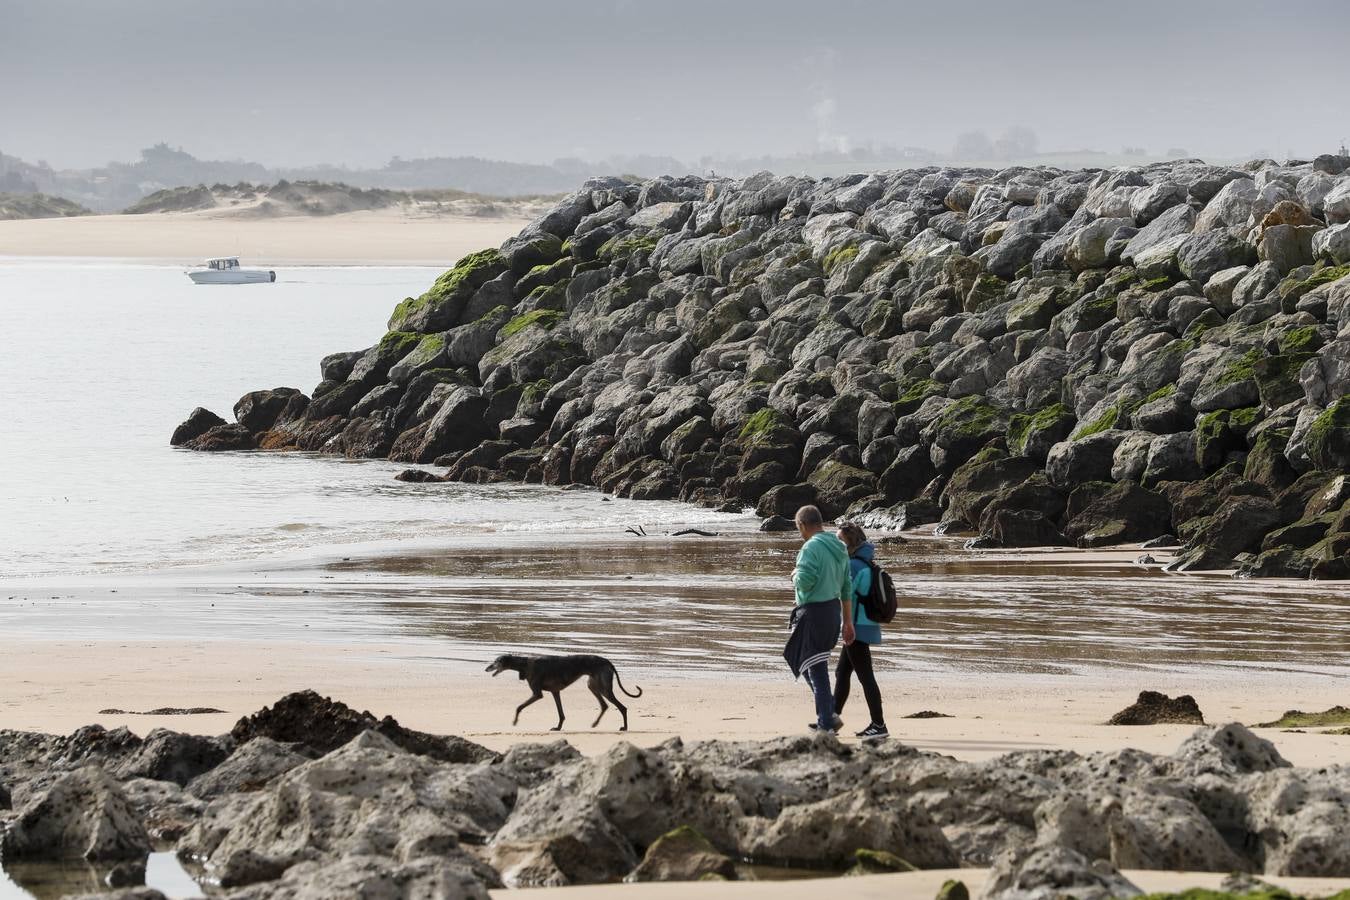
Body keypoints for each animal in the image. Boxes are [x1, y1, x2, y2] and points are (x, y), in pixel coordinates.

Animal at [488, 655, 645, 734]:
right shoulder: (555, 692)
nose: (486, 668)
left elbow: (519, 707)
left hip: (604, 687)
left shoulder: (537, 694)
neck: (526, 663)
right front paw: (558, 728)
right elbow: (561, 713)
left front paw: (515, 721)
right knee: (604, 705)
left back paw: (625, 727)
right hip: (593, 686)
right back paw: (595, 723)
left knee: (622, 707)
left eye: (496, 662)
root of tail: (608, 662)